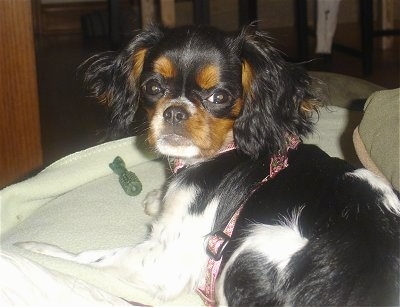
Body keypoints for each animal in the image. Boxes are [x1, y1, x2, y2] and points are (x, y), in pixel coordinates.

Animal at [19, 25, 400, 306]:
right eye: (153, 87)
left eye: (219, 97)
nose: (175, 112)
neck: (224, 150)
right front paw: (156, 198)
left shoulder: (163, 261)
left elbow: (90, 258)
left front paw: (34, 251)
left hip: (252, 247)